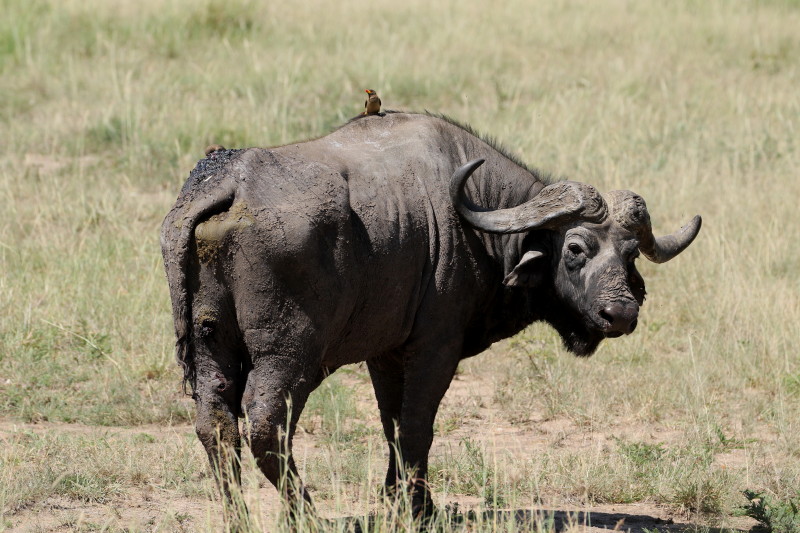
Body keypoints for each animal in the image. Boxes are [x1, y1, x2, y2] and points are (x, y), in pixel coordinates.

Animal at [159, 111, 696, 516]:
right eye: (576, 249)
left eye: (630, 253)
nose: (620, 313)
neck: (474, 223)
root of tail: (234, 182)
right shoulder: (436, 348)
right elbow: (419, 424)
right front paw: (417, 509)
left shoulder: (385, 353)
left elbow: (392, 423)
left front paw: (397, 500)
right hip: (288, 355)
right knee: (265, 424)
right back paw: (305, 515)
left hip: (210, 345)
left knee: (215, 424)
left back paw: (238, 516)